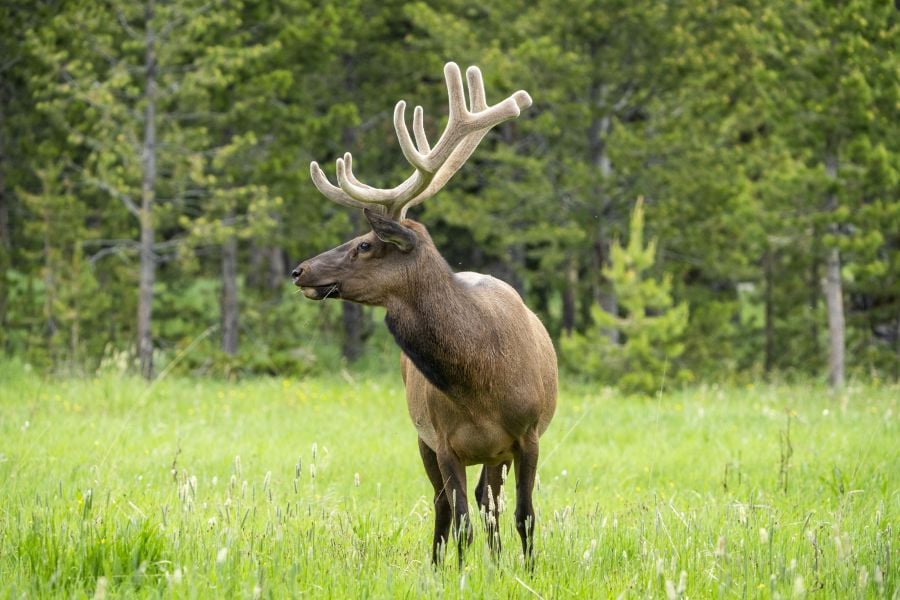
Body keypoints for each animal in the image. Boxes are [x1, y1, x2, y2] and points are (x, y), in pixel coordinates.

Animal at [292, 62, 557, 566]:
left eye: (365, 244)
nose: (299, 270)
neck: (481, 380)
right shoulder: (444, 440)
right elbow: (461, 523)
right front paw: (459, 572)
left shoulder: (529, 435)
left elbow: (525, 516)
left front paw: (527, 570)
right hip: (424, 440)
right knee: (446, 506)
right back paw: (440, 564)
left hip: (495, 454)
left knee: (489, 501)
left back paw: (496, 560)